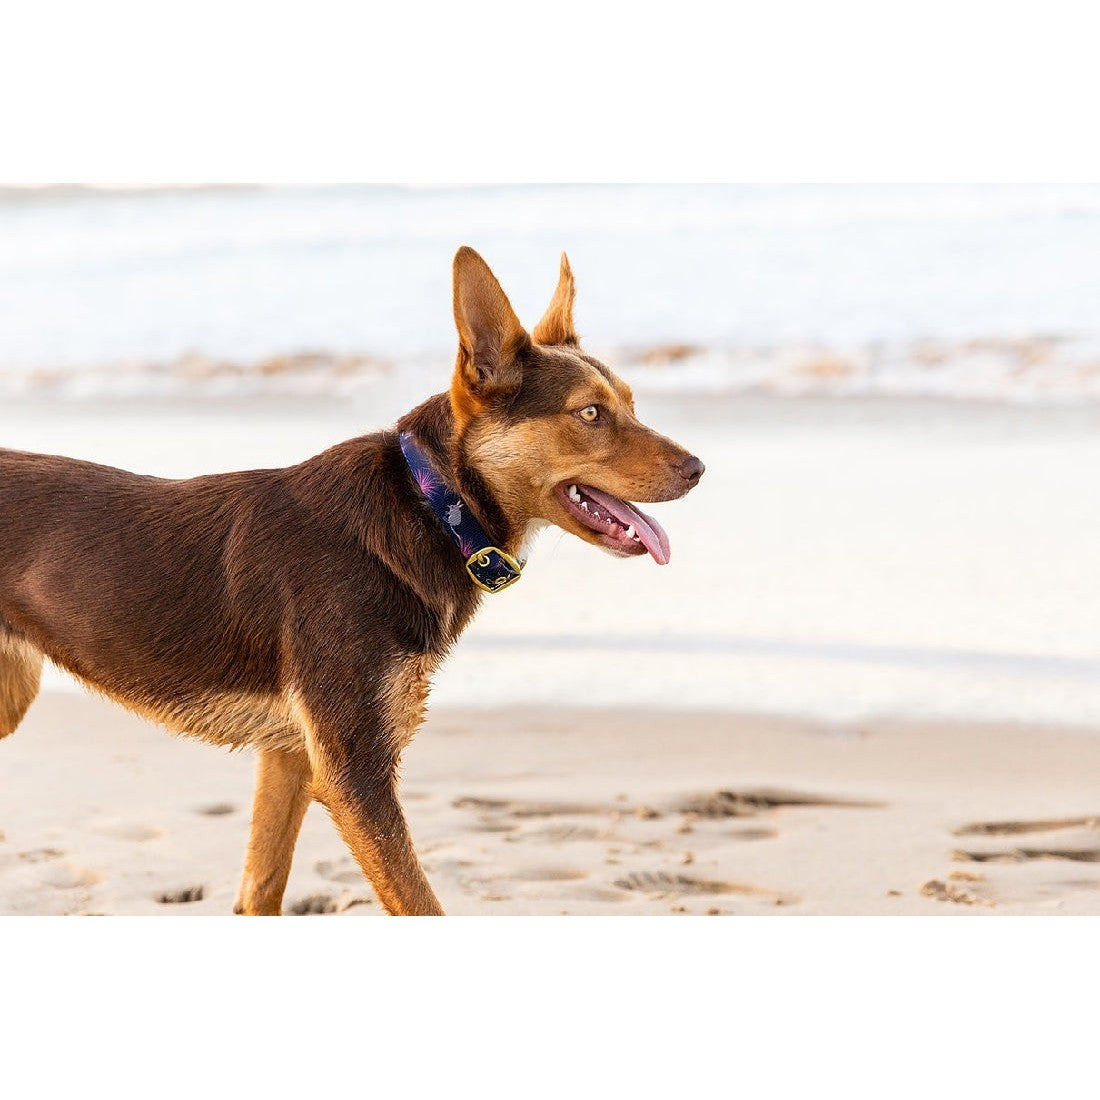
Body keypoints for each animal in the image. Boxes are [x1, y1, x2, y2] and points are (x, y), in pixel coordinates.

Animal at [0, 247, 704, 910]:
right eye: (590, 415)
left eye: (631, 406)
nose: (700, 468)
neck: (432, 504)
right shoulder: (354, 774)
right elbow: (422, 908)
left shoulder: (288, 755)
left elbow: (259, 892)